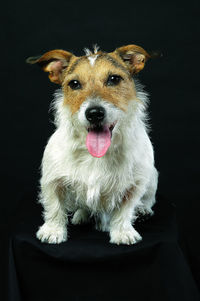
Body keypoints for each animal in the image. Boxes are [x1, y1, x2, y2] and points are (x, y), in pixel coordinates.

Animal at [27, 44, 158, 244]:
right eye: (74, 84)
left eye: (114, 79)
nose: (94, 113)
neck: (96, 155)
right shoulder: (52, 179)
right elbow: (54, 206)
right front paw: (53, 230)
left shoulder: (135, 184)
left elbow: (125, 210)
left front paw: (122, 232)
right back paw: (81, 215)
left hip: (152, 178)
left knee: (148, 200)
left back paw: (143, 209)